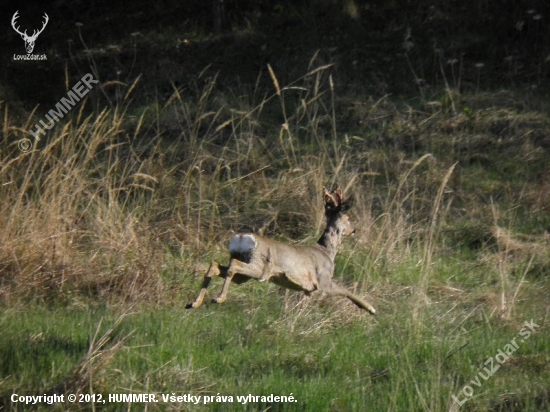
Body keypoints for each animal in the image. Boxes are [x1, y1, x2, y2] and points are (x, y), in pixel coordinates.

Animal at [188, 188, 378, 314]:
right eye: (348, 218)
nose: (354, 230)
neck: (327, 251)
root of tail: (241, 238)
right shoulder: (323, 281)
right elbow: (346, 291)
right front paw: (370, 308)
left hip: (242, 270)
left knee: (216, 266)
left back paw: (194, 303)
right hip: (260, 267)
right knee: (233, 265)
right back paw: (218, 298)